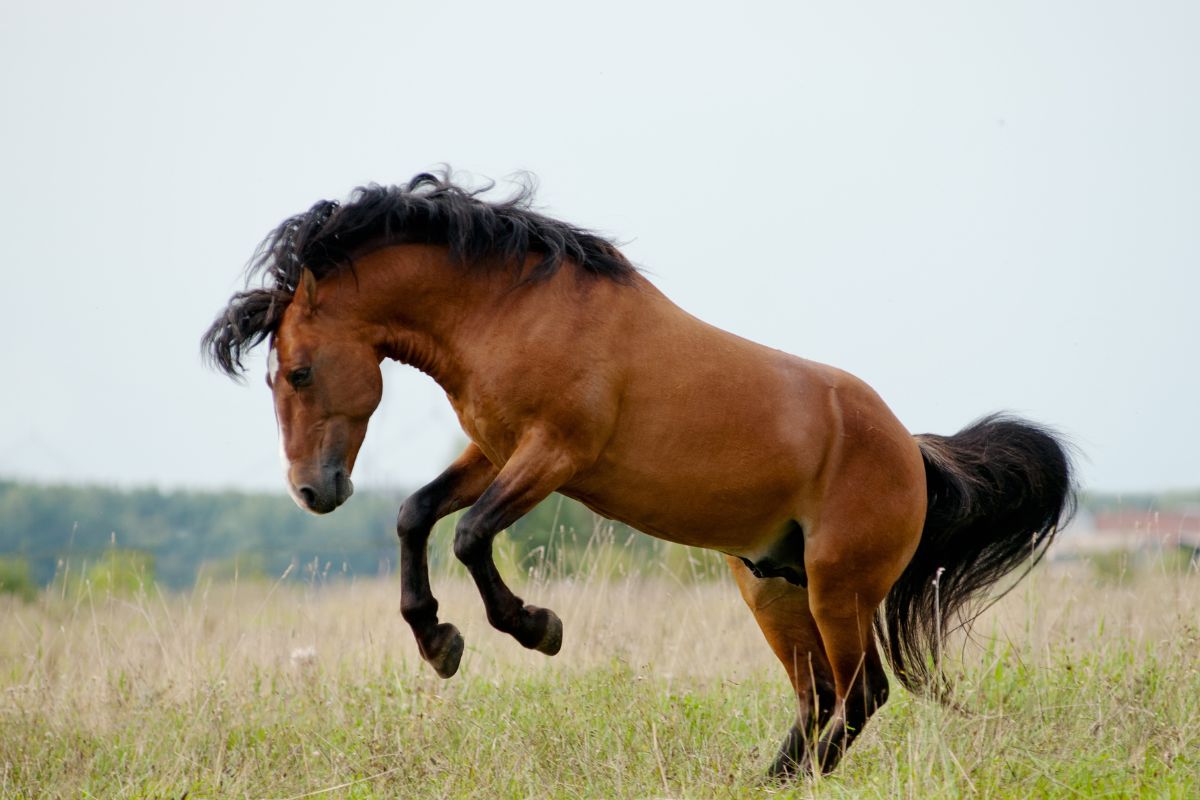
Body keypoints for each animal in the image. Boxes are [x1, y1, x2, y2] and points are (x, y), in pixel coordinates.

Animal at [202, 172, 1074, 778]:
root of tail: (911, 452)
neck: (511, 310)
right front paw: (439, 641)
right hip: (774, 590)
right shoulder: (494, 451)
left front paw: (536, 628)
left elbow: (472, 535)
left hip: (839, 587)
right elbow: (417, 515)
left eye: (299, 372)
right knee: (820, 697)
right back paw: (767, 781)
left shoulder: (554, 454)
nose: (313, 490)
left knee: (860, 696)